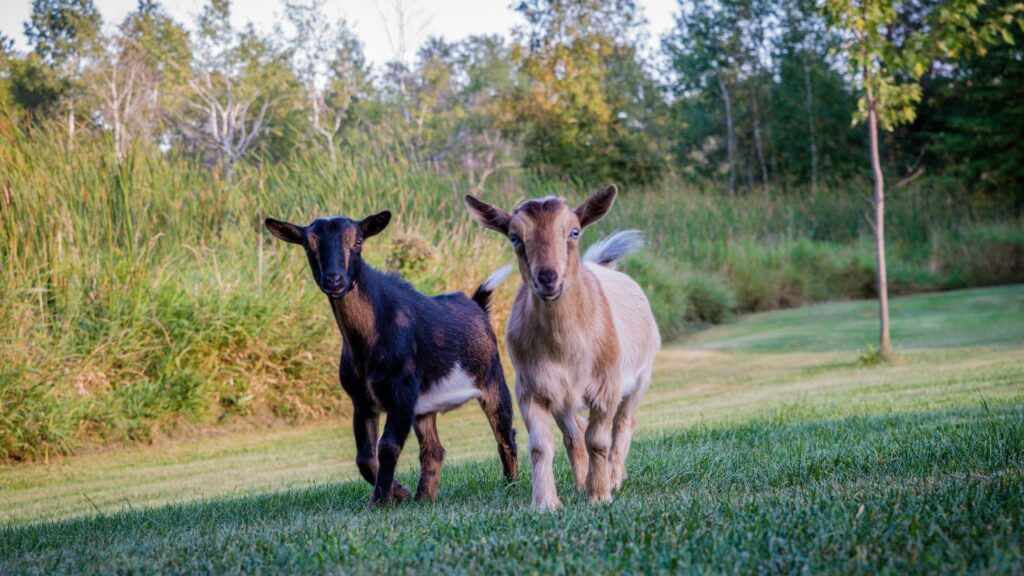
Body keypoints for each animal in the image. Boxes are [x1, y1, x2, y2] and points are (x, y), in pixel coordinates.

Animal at [265, 211, 518, 506]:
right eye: (308, 246)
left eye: (358, 241)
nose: (334, 280)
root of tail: (477, 305)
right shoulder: (362, 400)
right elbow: (364, 456)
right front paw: (400, 492)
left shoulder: (402, 389)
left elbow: (387, 446)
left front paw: (381, 501)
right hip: (424, 405)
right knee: (433, 449)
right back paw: (423, 498)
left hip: (492, 377)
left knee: (505, 434)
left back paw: (511, 485)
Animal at [464, 185, 660, 511]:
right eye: (514, 237)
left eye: (574, 232)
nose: (547, 277)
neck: (566, 349)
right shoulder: (532, 388)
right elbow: (542, 446)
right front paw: (546, 503)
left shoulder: (606, 387)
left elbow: (599, 441)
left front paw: (599, 495)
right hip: (563, 397)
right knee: (575, 433)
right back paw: (582, 481)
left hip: (641, 376)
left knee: (623, 425)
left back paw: (615, 476)